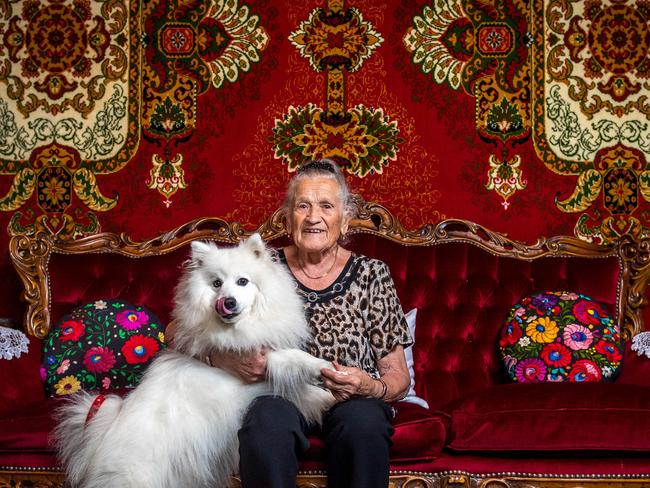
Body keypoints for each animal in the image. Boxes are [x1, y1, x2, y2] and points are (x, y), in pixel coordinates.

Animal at [55, 234, 334, 486]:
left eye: (243, 281)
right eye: (216, 283)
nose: (228, 302)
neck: (237, 329)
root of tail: (100, 441)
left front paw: (327, 391)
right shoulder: (256, 366)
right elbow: (294, 361)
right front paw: (323, 376)